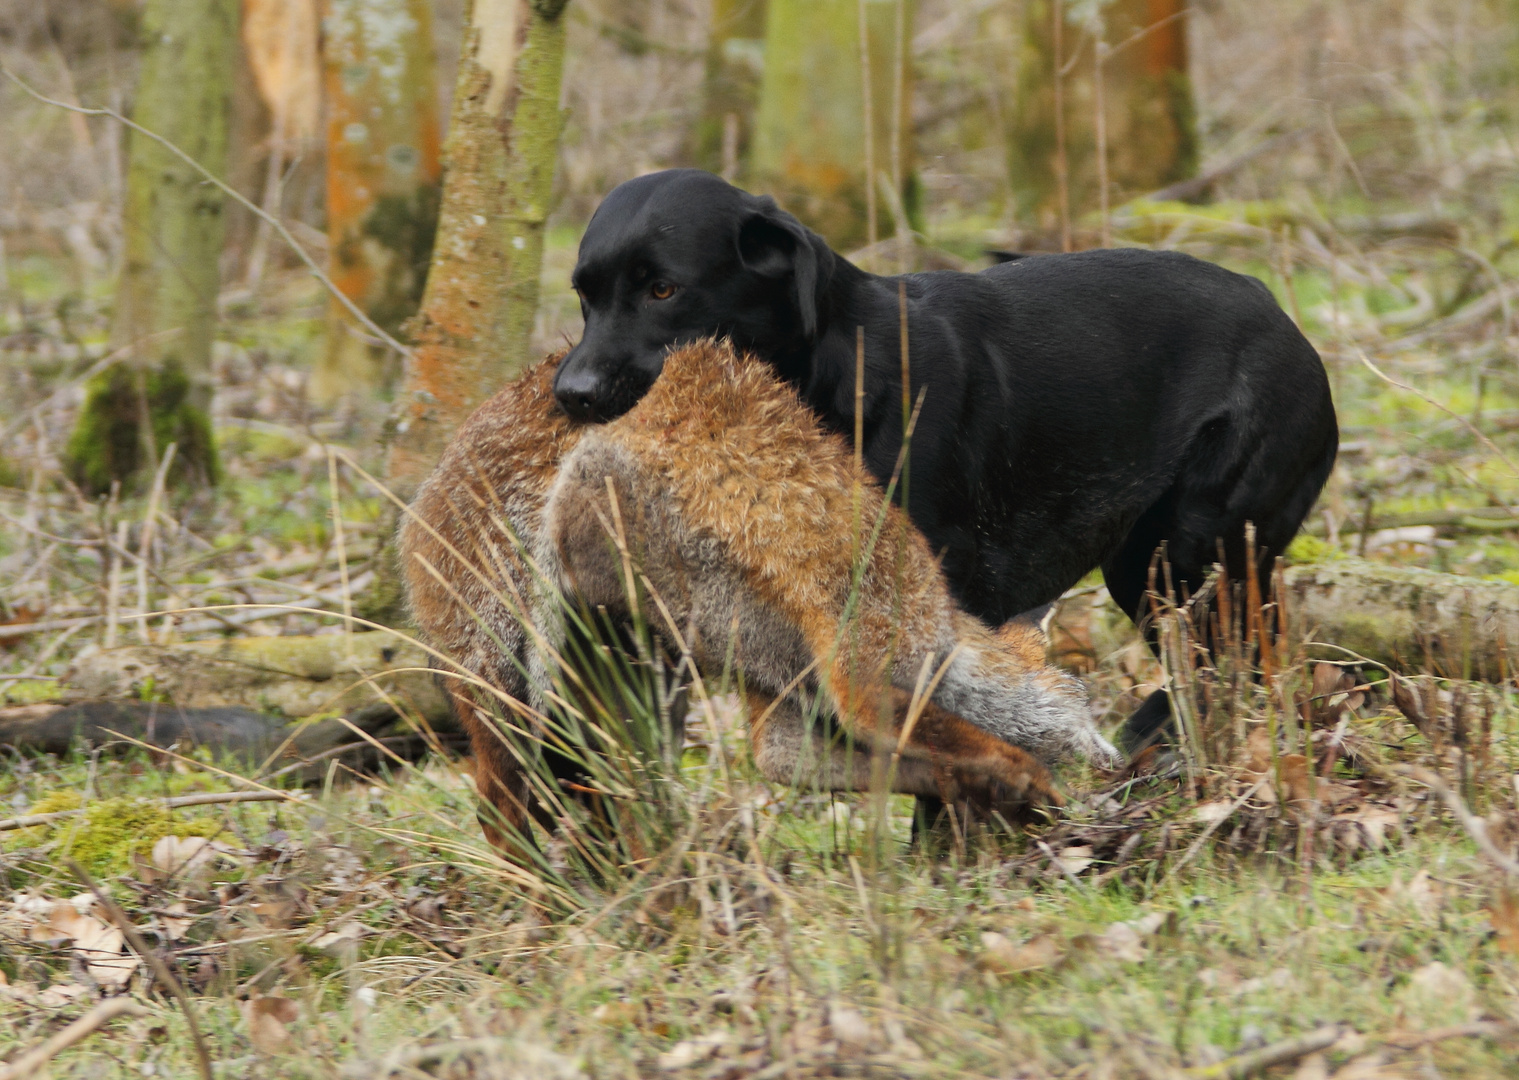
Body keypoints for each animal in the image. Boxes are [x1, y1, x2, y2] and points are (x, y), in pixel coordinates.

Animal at [552, 168, 1336, 753]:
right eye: (584, 295)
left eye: (663, 289)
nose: (571, 393)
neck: (831, 382)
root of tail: (1285, 323)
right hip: (1145, 567)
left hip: (1197, 549)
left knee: (1230, 659)